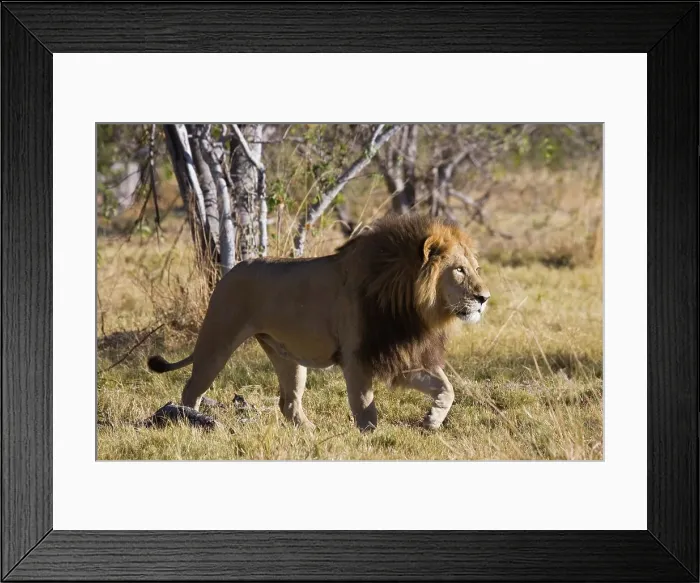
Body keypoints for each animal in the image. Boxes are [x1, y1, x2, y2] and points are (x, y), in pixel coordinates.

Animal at [148, 213, 490, 431]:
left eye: (475, 268)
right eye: (459, 270)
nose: (485, 297)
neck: (413, 308)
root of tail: (231, 270)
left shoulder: (399, 354)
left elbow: (446, 388)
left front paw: (431, 421)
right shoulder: (357, 358)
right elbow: (365, 407)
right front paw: (371, 438)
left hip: (287, 356)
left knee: (288, 402)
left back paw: (309, 432)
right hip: (217, 341)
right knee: (192, 388)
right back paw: (190, 419)